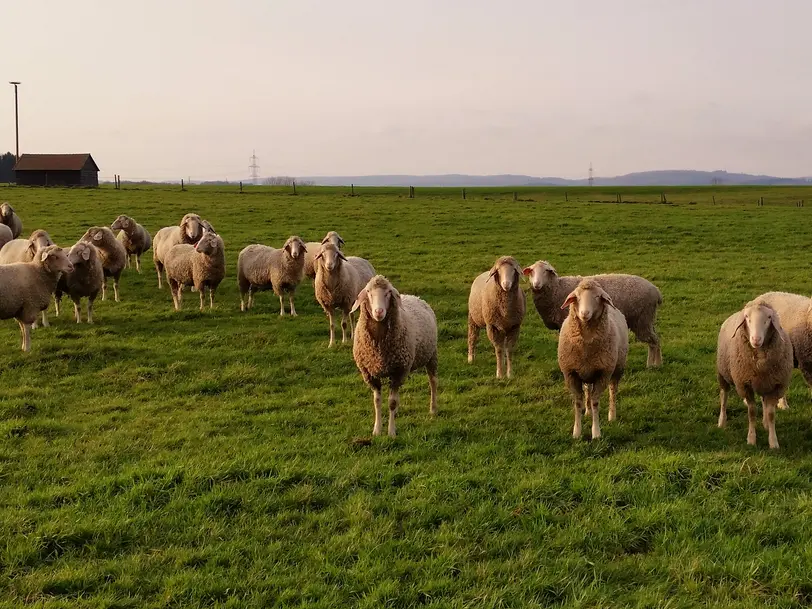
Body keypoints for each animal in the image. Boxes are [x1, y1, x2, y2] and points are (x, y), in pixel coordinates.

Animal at [350, 276, 438, 436]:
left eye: (388, 293)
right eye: (368, 292)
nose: (379, 312)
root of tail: (414, 296)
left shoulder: (398, 371)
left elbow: (391, 402)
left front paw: (391, 432)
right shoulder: (370, 374)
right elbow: (377, 401)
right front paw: (377, 430)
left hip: (432, 355)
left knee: (433, 382)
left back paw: (433, 409)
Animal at [524, 260, 664, 368]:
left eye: (545, 271)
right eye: (532, 271)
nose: (536, 284)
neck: (556, 288)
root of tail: (656, 291)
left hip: (642, 319)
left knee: (653, 341)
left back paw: (652, 365)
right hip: (649, 318)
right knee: (656, 339)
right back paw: (657, 363)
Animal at [556, 278, 632, 440]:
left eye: (597, 297)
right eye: (577, 297)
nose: (584, 313)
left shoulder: (603, 373)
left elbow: (596, 402)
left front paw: (596, 433)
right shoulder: (571, 373)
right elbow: (578, 402)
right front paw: (577, 432)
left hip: (617, 369)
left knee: (612, 390)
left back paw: (612, 415)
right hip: (587, 372)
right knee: (588, 390)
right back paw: (588, 411)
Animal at [716, 300, 792, 446]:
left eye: (769, 317)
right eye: (746, 317)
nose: (756, 339)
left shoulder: (775, 386)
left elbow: (771, 414)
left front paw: (773, 441)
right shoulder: (745, 385)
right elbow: (751, 413)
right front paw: (751, 439)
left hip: (764, 383)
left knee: (764, 402)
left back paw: (765, 424)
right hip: (723, 374)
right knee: (724, 396)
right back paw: (722, 421)